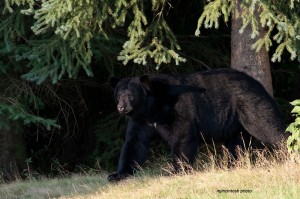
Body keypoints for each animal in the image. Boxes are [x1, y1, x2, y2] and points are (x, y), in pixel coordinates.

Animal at [107, 69, 286, 182]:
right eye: (118, 94)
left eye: (130, 95)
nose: (121, 107)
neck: (153, 108)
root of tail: (256, 83)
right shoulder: (140, 120)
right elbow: (135, 143)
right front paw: (117, 174)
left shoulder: (178, 108)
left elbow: (182, 135)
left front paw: (176, 170)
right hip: (234, 121)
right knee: (236, 142)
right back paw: (233, 164)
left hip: (249, 104)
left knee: (266, 125)